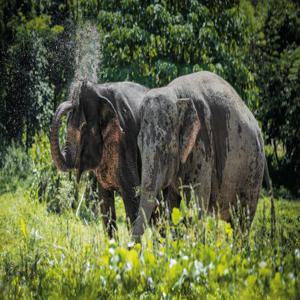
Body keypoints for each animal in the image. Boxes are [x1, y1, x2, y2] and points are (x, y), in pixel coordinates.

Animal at [51, 79, 150, 237]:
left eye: (84, 127)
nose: (71, 103)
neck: (100, 91)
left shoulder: (126, 139)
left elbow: (133, 196)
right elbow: (105, 202)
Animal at [133, 71, 268, 239]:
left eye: (166, 147)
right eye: (139, 144)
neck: (175, 93)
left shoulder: (202, 145)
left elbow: (197, 204)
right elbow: (172, 207)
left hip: (254, 169)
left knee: (243, 220)